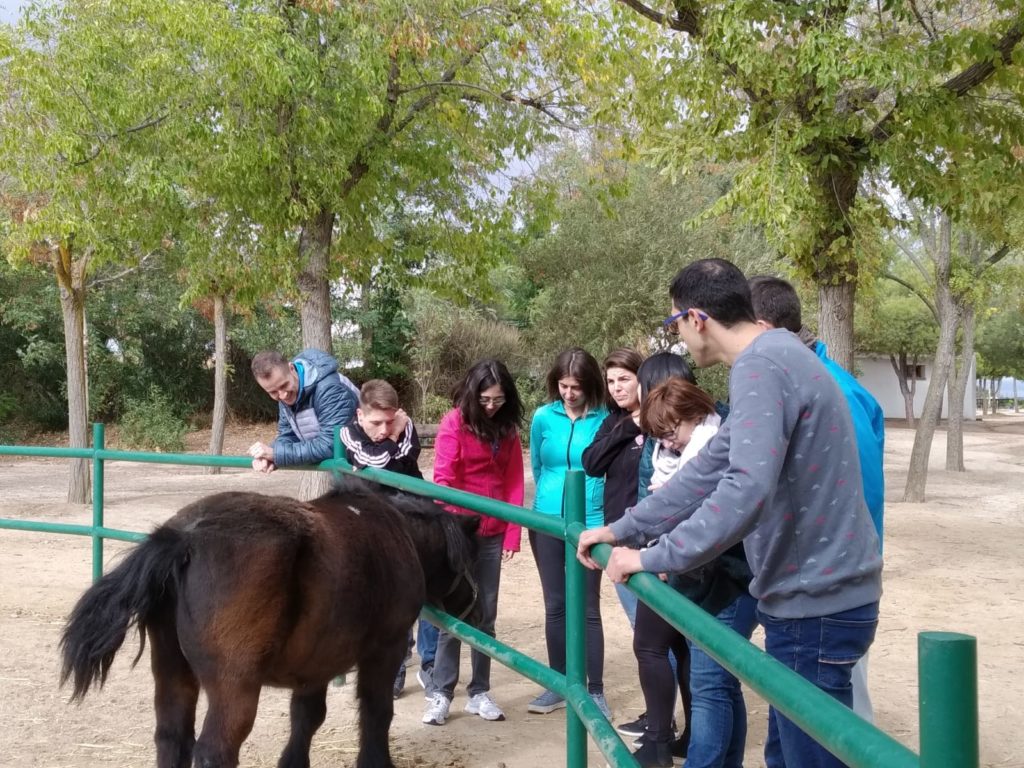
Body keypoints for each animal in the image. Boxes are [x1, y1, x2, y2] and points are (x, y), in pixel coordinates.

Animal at [58, 481, 481, 768]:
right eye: (466, 561)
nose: (474, 605)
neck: (395, 532)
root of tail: (184, 538)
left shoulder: (316, 665)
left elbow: (307, 718)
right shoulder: (385, 651)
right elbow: (377, 713)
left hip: (173, 672)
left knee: (171, 738)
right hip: (234, 689)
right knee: (213, 751)